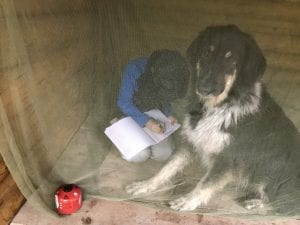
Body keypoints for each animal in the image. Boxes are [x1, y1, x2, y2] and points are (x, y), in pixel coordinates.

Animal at [126, 25, 300, 216]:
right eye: (206, 53)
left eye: (230, 59)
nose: (203, 88)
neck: (218, 108)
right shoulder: (191, 141)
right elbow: (167, 167)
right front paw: (147, 184)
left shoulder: (227, 159)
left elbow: (205, 183)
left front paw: (187, 201)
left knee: (287, 207)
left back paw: (257, 203)